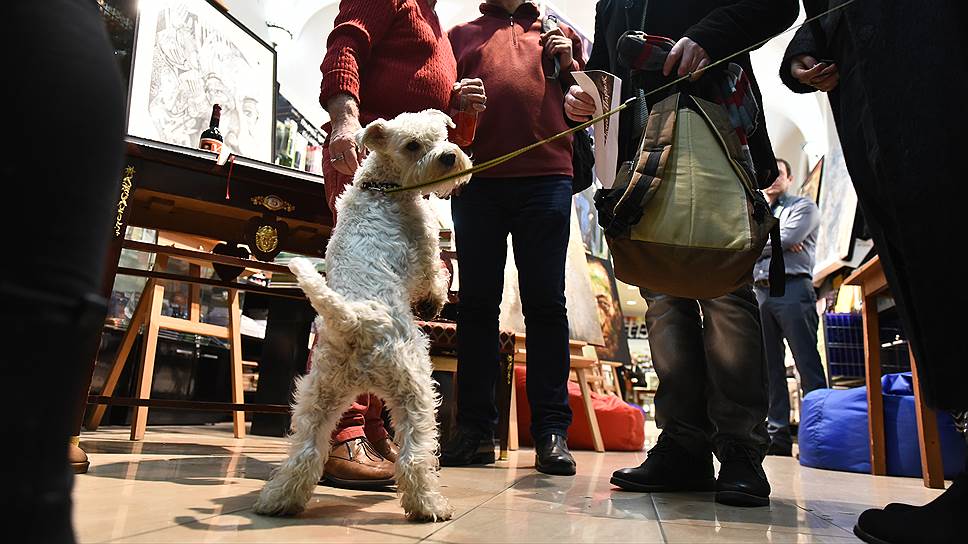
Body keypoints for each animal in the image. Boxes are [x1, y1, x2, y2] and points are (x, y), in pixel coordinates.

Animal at [253, 108, 472, 520]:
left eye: (440, 134)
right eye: (413, 145)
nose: (450, 156)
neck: (380, 186)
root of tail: (354, 319)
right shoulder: (425, 246)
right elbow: (435, 275)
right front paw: (435, 301)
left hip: (319, 395)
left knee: (306, 453)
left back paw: (277, 501)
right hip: (415, 388)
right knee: (413, 455)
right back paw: (430, 506)